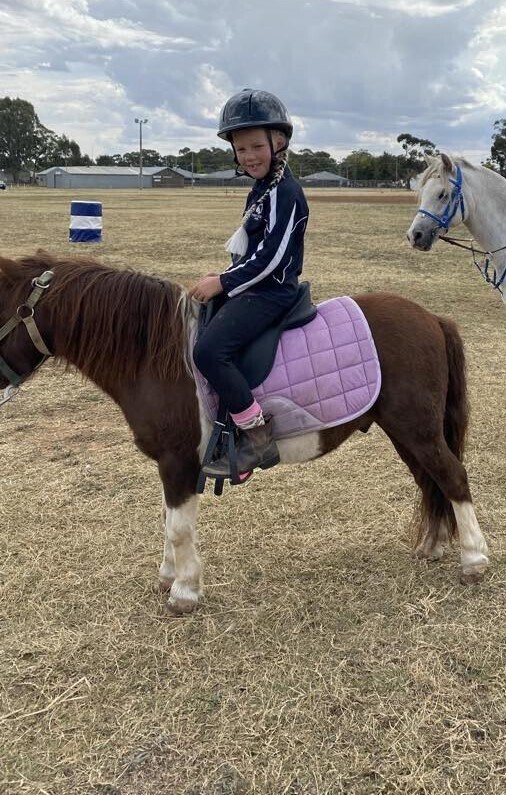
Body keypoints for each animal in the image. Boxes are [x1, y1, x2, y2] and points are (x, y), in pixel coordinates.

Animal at [0, 251, 489, 614]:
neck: (154, 355)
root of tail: (433, 318)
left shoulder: (179, 461)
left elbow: (179, 529)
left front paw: (184, 592)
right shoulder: (171, 465)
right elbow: (169, 523)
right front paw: (168, 578)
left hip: (417, 429)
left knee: (452, 478)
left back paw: (474, 560)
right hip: (406, 432)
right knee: (430, 482)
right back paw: (431, 546)